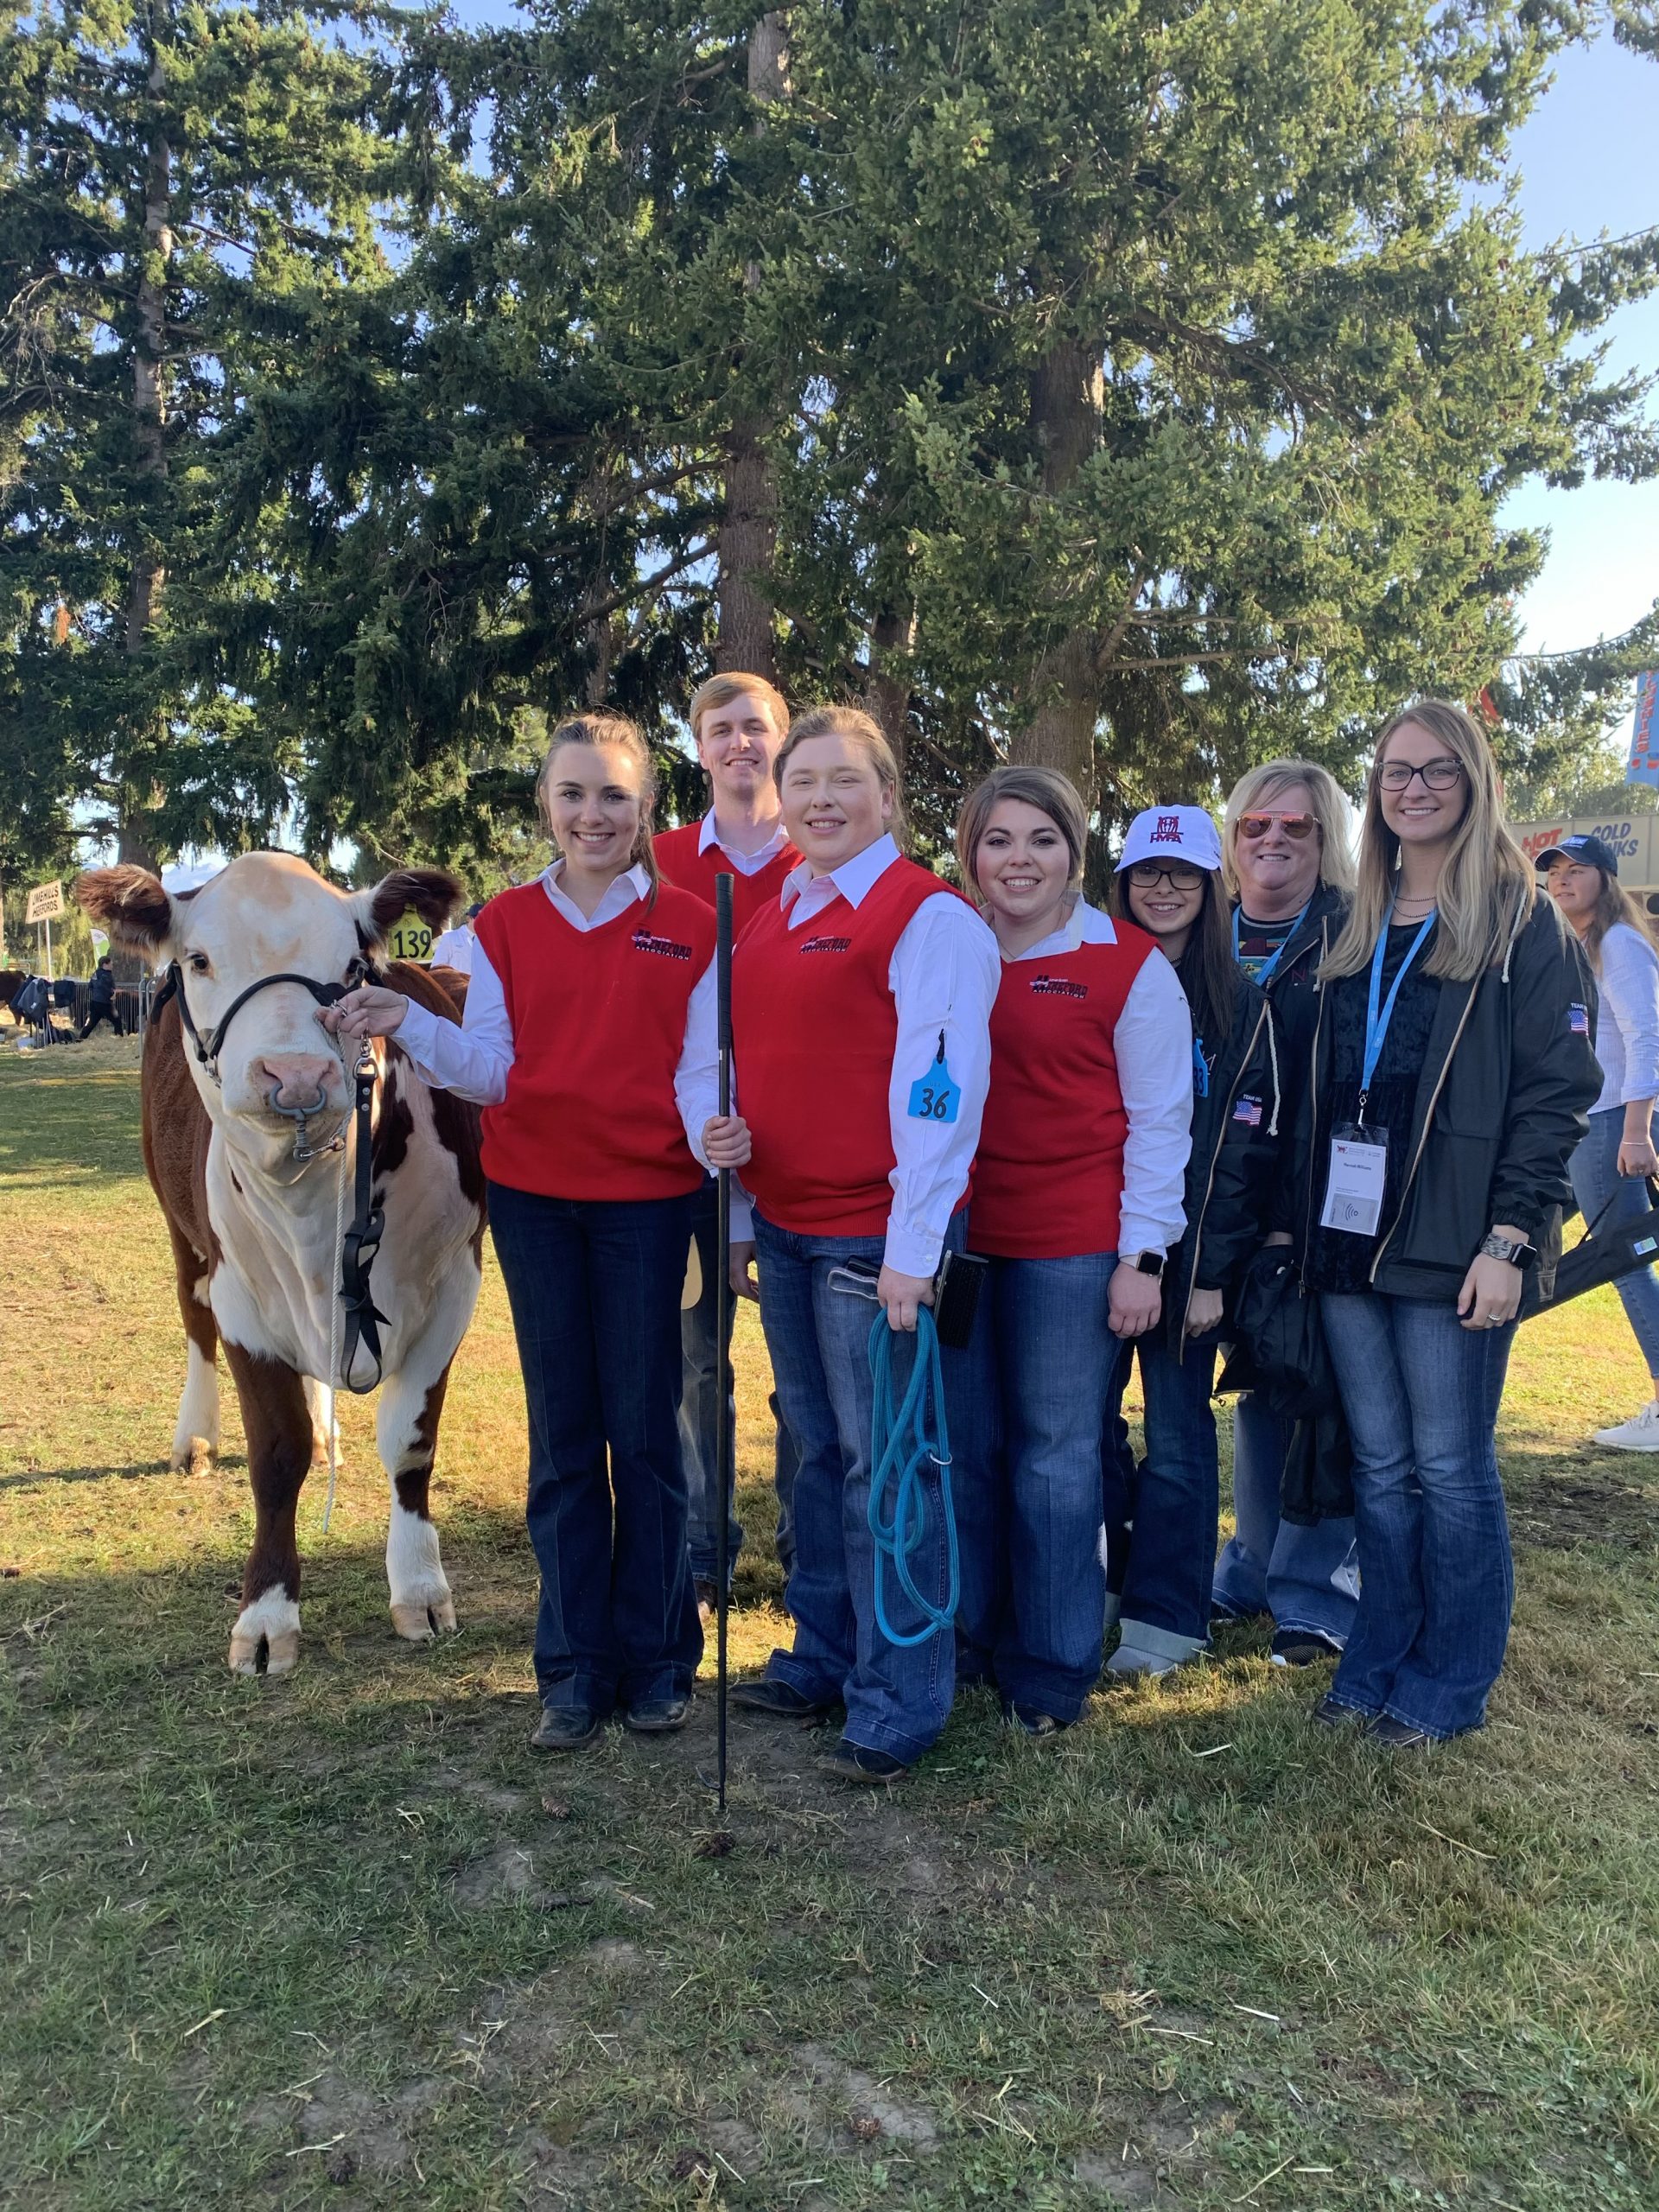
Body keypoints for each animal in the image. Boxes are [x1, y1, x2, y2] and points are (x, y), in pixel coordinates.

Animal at [81, 854, 484, 1663]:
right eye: (199, 960)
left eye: (355, 967)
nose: (295, 1076)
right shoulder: (243, 1301)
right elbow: (275, 1452)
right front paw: (267, 1614)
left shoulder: (454, 1280)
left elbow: (410, 1442)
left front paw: (419, 1589)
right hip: (177, 1226)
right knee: (193, 1321)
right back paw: (197, 1438)